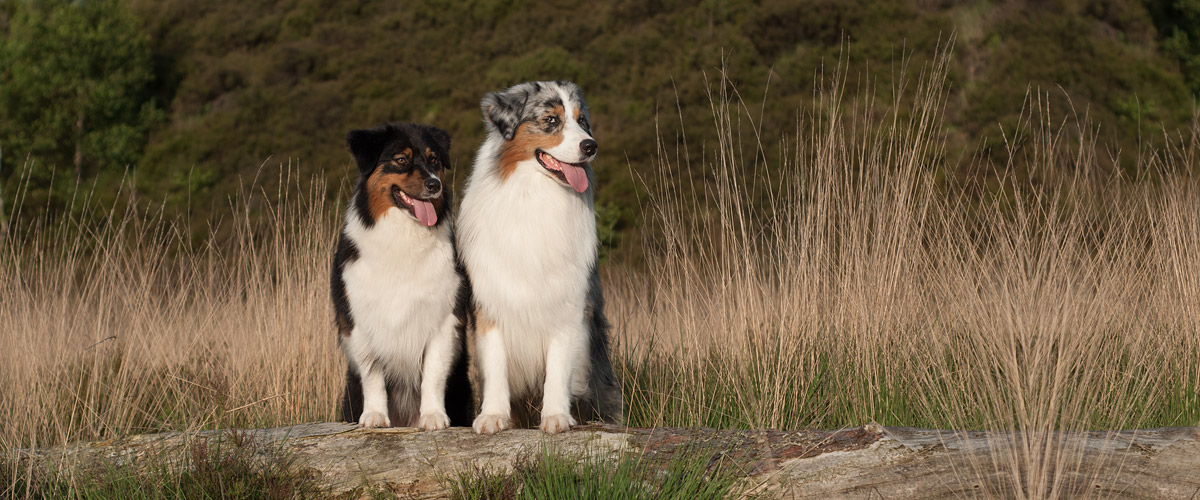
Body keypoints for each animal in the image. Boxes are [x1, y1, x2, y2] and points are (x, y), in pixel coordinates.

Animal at [336, 121, 475, 429]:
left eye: (433, 160)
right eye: (401, 160)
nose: (435, 184)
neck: (404, 235)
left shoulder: (443, 319)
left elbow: (433, 374)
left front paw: (433, 416)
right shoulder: (359, 321)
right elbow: (372, 374)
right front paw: (375, 415)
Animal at [456, 79, 624, 431]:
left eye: (582, 121)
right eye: (551, 120)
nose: (591, 146)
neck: (537, 194)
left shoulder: (568, 304)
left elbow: (558, 369)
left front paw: (556, 416)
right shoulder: (490, 301)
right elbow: (495, 365)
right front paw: (492, 416)